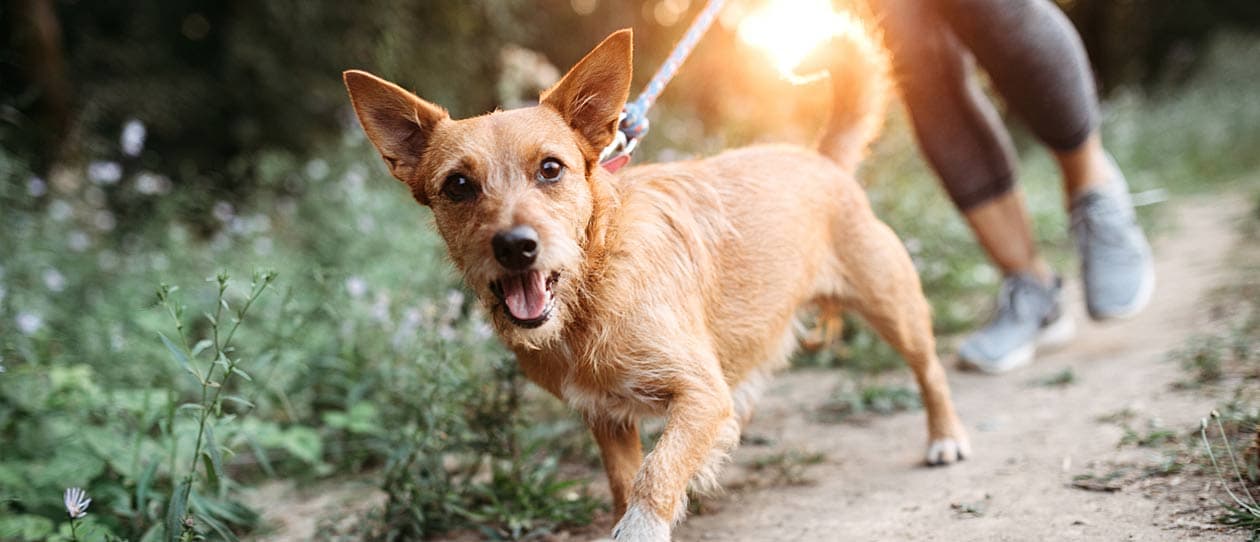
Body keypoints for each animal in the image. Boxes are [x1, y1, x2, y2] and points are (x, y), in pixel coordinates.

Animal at [340, 25, 967, 542]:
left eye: (550, 169)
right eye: (458, 185)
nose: (515, 246)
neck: (591, 290)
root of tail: (822, 161)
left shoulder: (698, 394)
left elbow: (656, 473)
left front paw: (643, 526)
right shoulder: (606, 417)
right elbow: (625, 480)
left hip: (893, 305)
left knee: (929, 369)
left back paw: (945, 436)